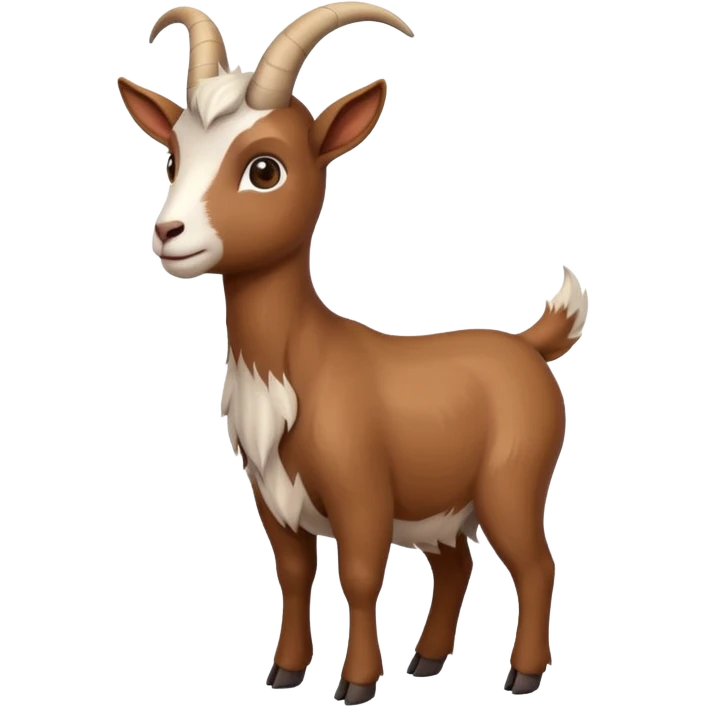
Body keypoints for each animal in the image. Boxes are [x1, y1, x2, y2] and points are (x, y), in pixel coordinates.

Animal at [117, 2, 590, 703]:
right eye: (173, 159)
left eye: (265, 168)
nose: (168, 234)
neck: (301, 364)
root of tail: (529, 344)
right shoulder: (271, 495)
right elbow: (292, 576)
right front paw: (285, 673)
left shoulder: (361, 489)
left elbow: (361, 577)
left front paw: (356, 683)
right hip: (440, 503)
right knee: (456, 563)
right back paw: (426, 661)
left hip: (513, 480)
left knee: (535, 563)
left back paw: (524, 673)